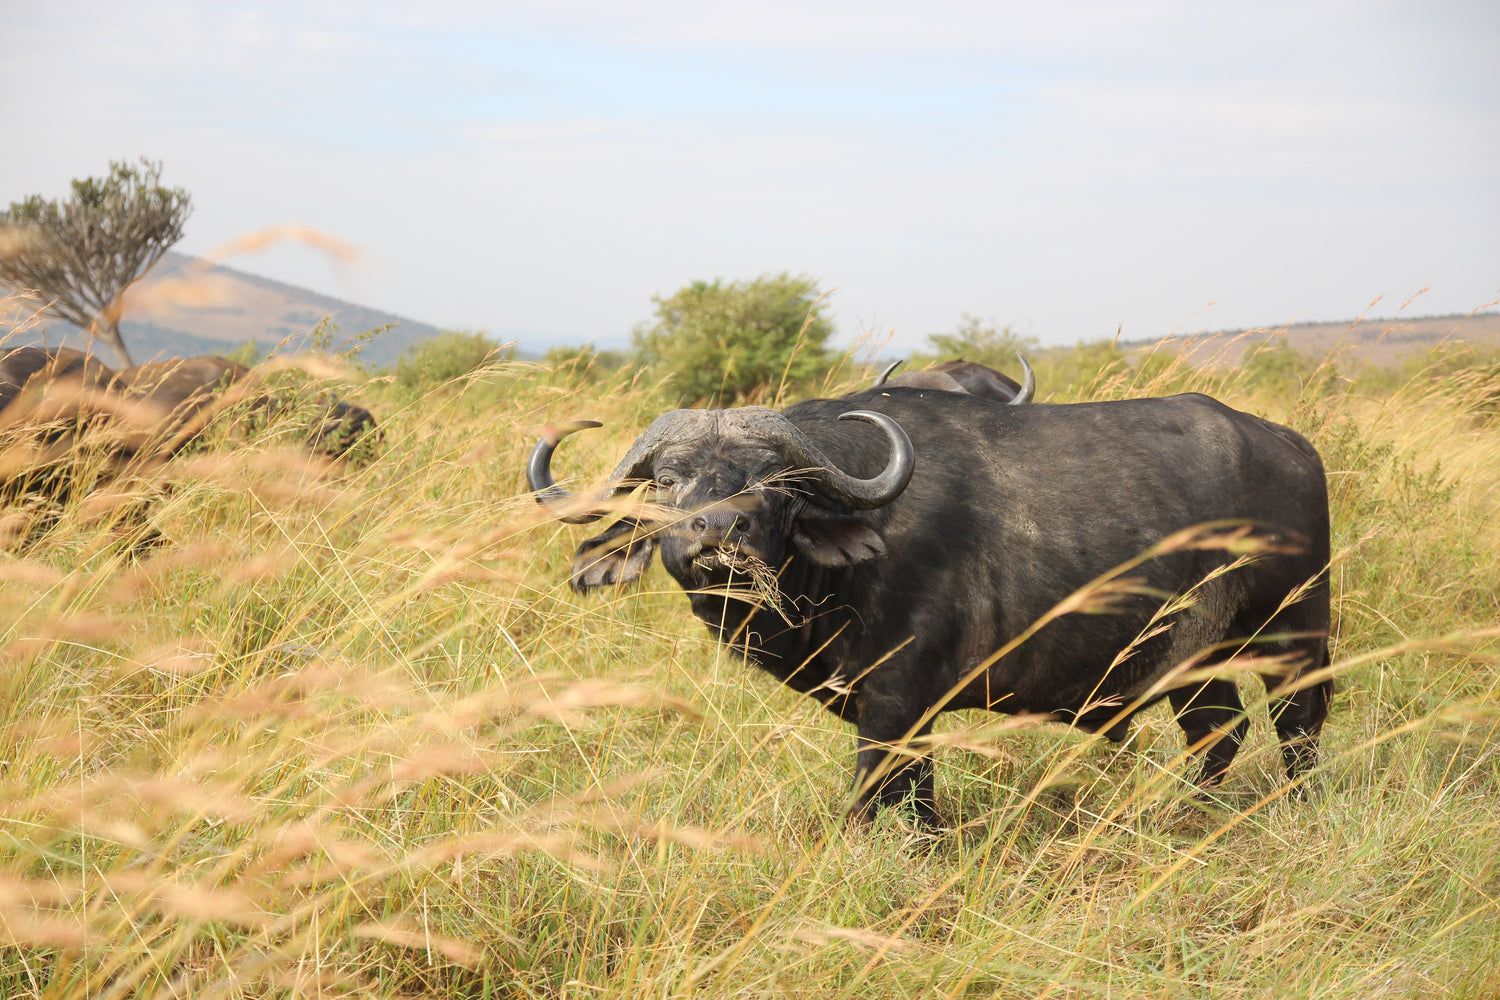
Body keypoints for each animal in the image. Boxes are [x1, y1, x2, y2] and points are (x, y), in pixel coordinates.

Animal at [531, 386, 1338, 827]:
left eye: (778, 482)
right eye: (667, 480)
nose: (718, 529)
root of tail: (1290, 445)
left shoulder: (896, 703)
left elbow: (879, 794)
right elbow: (910, 794)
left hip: (1294, 630)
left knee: (1296, 726)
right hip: (1192, 657)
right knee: (1218, 732)